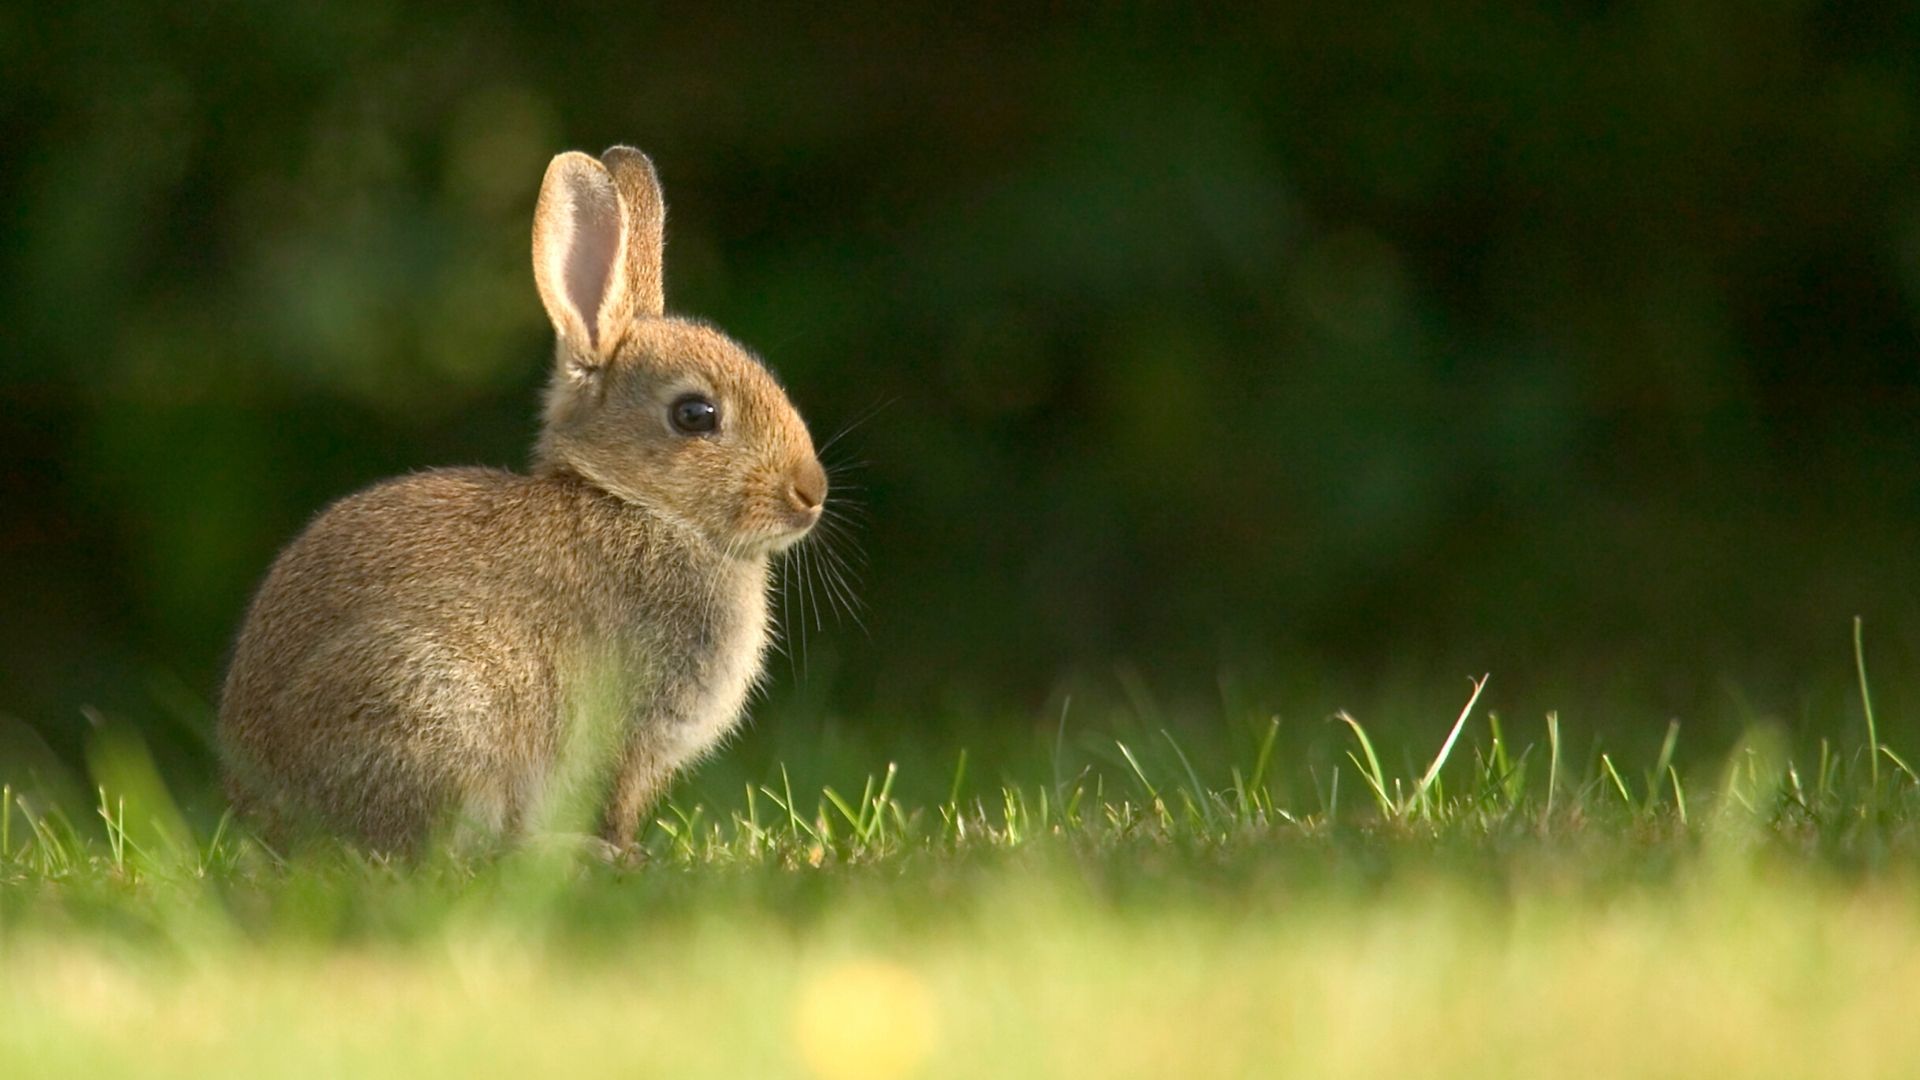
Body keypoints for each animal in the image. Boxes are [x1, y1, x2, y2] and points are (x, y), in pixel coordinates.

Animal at [218, 146, 827, 855]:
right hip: (431, 708)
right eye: (695, 415)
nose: (811, 493)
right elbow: (614, 801)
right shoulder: (628, 732)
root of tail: (265, 819)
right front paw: (624, 853)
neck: (636, 503)